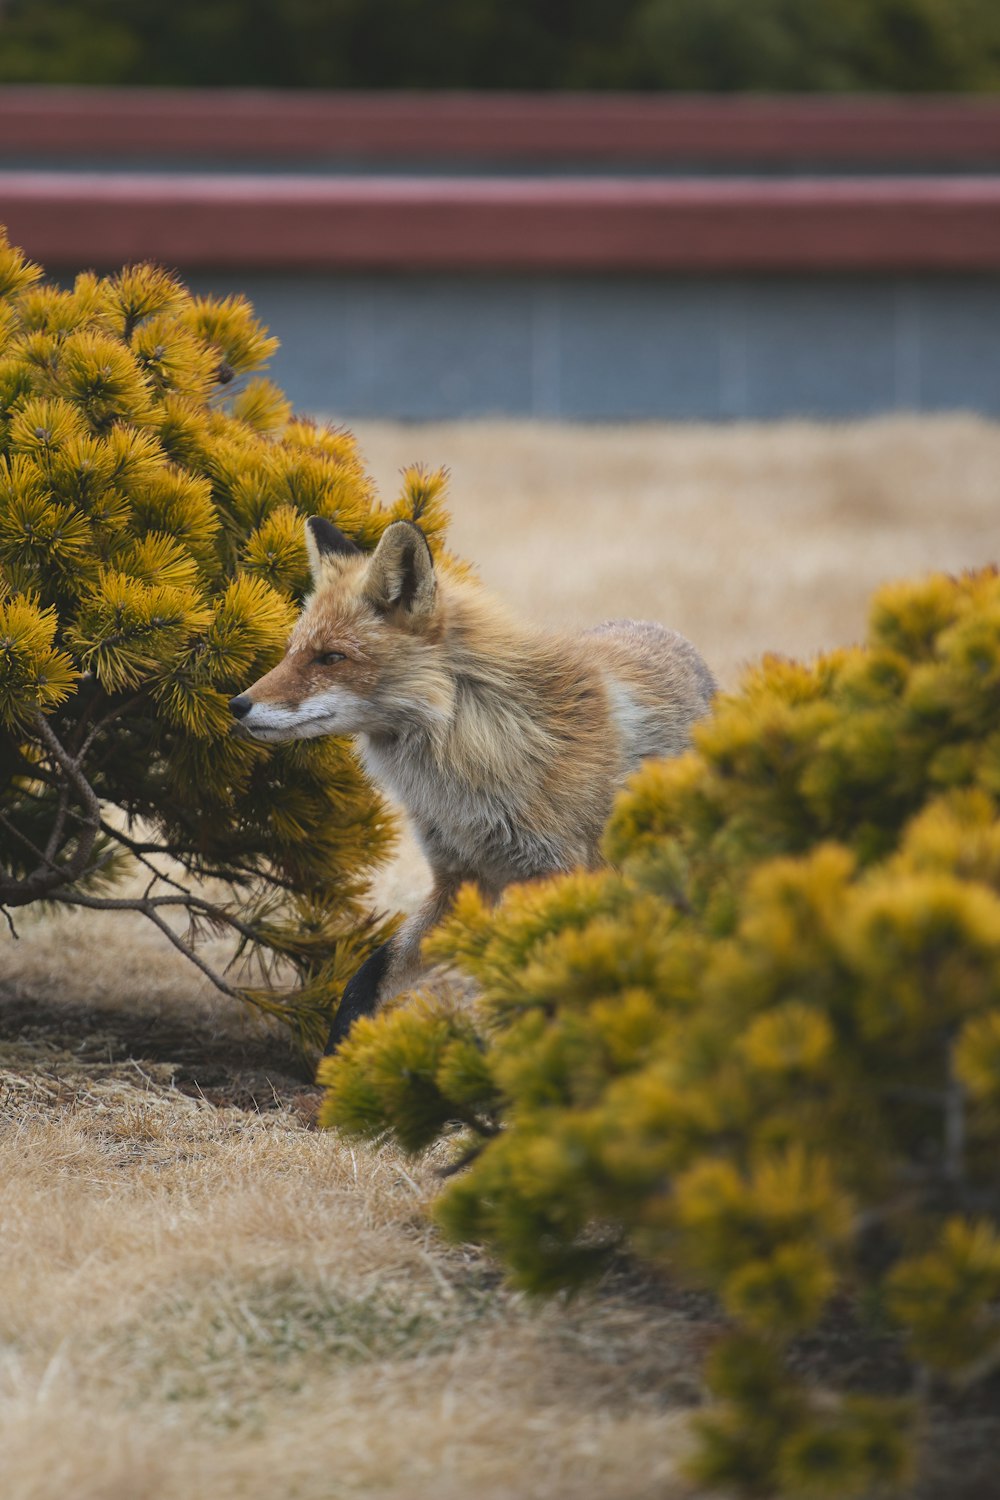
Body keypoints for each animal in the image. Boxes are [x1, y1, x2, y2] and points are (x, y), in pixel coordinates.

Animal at [230, 522, 716, 1050]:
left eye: (331, 657)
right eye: (291, 652)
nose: (237, 705)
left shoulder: (556, 875)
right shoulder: (461, 879)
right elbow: (371, 975)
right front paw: (342, 1053)